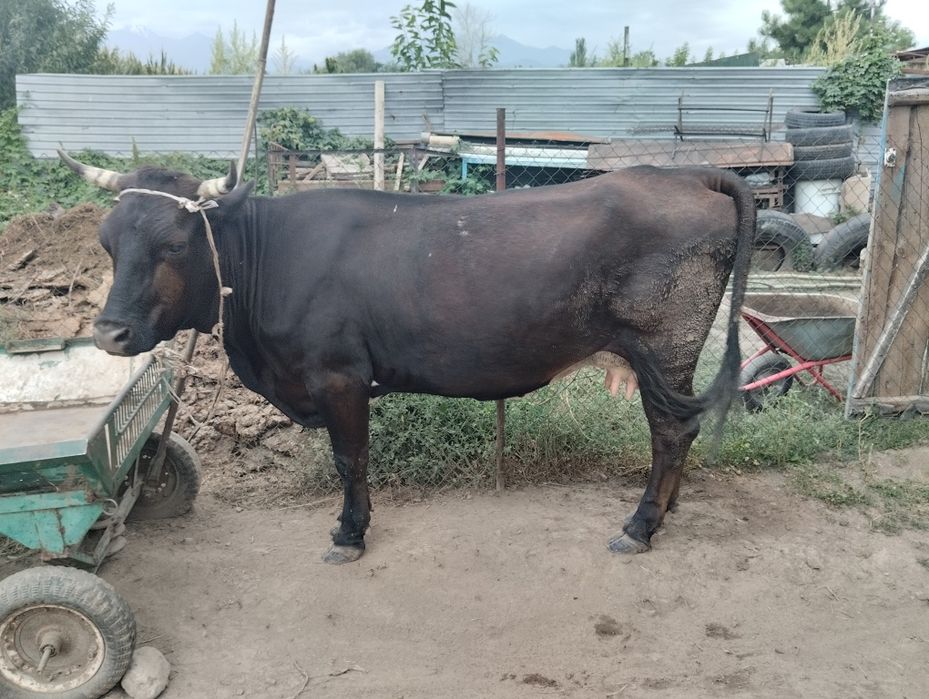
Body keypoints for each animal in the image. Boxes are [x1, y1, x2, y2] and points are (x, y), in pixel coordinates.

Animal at [58, 150, 755, 564]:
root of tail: (681, 173)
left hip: (664, 350)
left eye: (174, 245)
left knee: (672, 432)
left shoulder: (338, 376)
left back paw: (640, 525)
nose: (110, 333)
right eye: (107, 241)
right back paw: (665, 510)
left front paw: (350, 533)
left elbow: (350, 459)